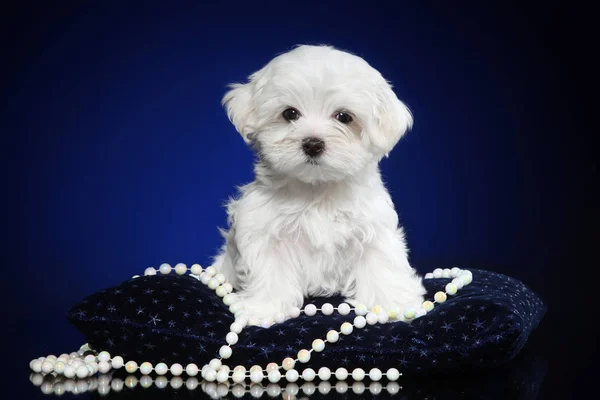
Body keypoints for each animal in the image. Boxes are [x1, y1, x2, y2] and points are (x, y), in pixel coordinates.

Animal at [211, 44, 426, 324]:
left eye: (344, 117)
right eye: (290, 113)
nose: (312, 143)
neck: (317, 190)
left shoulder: (372, 229)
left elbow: (380, 263)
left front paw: (393, 303)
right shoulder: (264, 231)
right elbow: (270, 270)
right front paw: (264, 308)